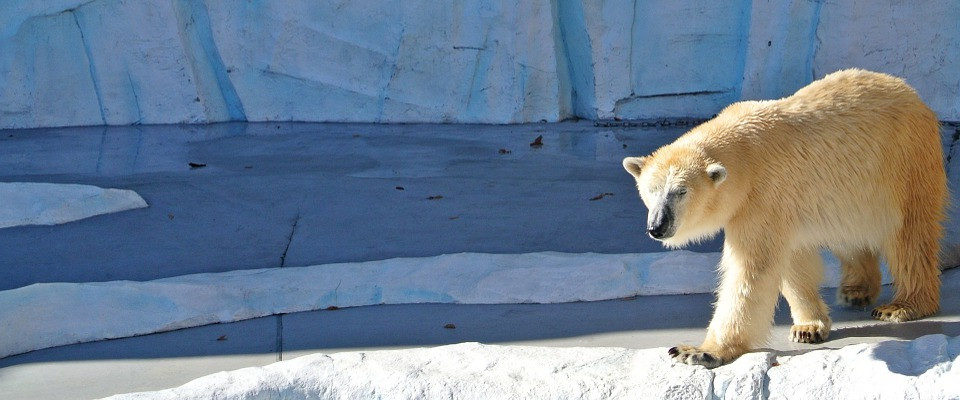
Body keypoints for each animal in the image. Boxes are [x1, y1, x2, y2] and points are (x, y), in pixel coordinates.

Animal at [624, 67, 944, 368]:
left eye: (680, 192)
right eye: (651, 190)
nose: (657, 226)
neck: (746, 152)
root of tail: (912, 94)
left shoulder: (763, 196)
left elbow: (752, 270)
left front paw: (700, 351)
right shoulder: (782, 204)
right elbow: (793, 262)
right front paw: (808, 327)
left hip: (902, 165)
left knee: (909, 235)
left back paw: (902, 305)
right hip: (849, 192)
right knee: (848, 233)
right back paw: (857, 290)